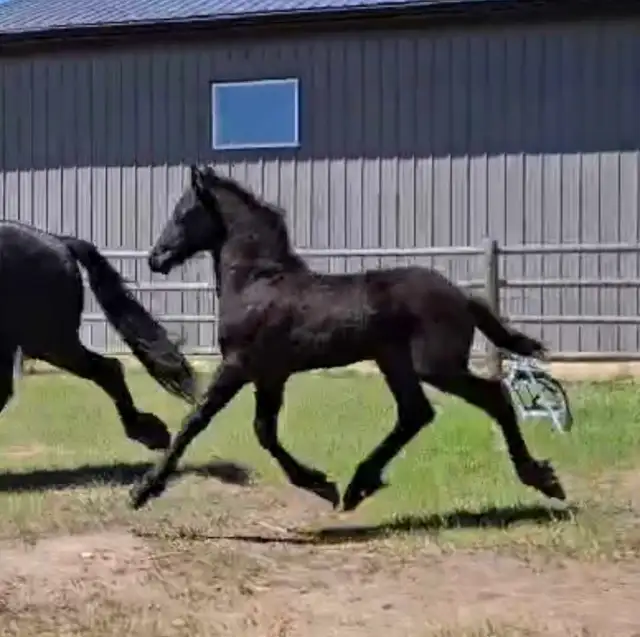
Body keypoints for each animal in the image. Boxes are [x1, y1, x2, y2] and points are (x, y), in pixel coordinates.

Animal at [129, 164, 566, 511]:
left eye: (183, 213)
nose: (156, 258)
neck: (258, 281)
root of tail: (460, 295)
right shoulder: (271, 375)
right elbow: (264, 431)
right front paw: (323, 485)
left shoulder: (240, 365)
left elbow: (197, 421)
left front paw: (143, 490)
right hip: (394, 361)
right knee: (416, 412)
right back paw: (360, 485)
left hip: (436, 366)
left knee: (493, 396)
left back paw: (541, 478)